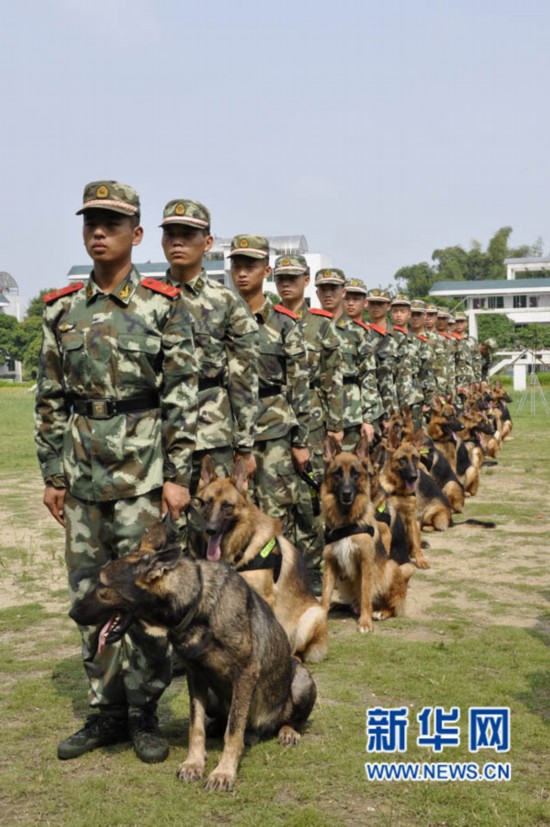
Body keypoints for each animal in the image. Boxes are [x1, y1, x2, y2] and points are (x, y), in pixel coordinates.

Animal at [70, 524, 316, 796]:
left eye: (102, 587)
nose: (72, 613)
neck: (196, 606)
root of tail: (260, 728)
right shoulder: (196, 675)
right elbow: (195, 726)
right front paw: (194, 763)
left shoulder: (246, 673)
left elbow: (233, 731)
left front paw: (223, 772)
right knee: (221, 721)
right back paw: (217, 728)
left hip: (302, 679)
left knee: (287, 719)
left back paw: (287, 731)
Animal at [196, 456, 330, 664]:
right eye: (207, 503)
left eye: (227, 506)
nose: (210, 530)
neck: (243, 545)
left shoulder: (266, 599)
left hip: (311, 617)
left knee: (298, 649)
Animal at [320, 440, 414, 632]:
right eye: (337, 473)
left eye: (355, 474)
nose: (346, 493)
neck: (347, 522)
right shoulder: (330, 562)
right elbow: (325, 594)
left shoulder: (366, 562)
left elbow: (365, 594)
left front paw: (365, 622)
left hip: (394, 568)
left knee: (391, 603)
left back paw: (381, 612)